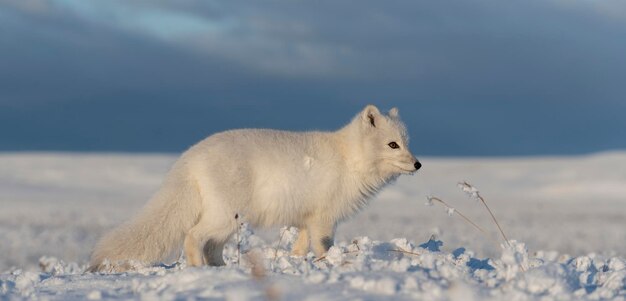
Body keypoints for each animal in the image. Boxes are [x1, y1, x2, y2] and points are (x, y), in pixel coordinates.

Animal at [88, 104, 420, 270]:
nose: (418, 164)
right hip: (225, 216)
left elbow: (299, 248)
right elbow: (323, 247)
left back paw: (222, 268)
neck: (350, 159)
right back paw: (200, 269)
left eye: (407, 143)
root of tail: (190, 156)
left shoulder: (306, 219)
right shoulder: (324, 219)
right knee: (193, 236)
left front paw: (297, 263)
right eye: (392, 145)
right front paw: (329, 264)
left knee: (212, 245)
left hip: (232, 221)